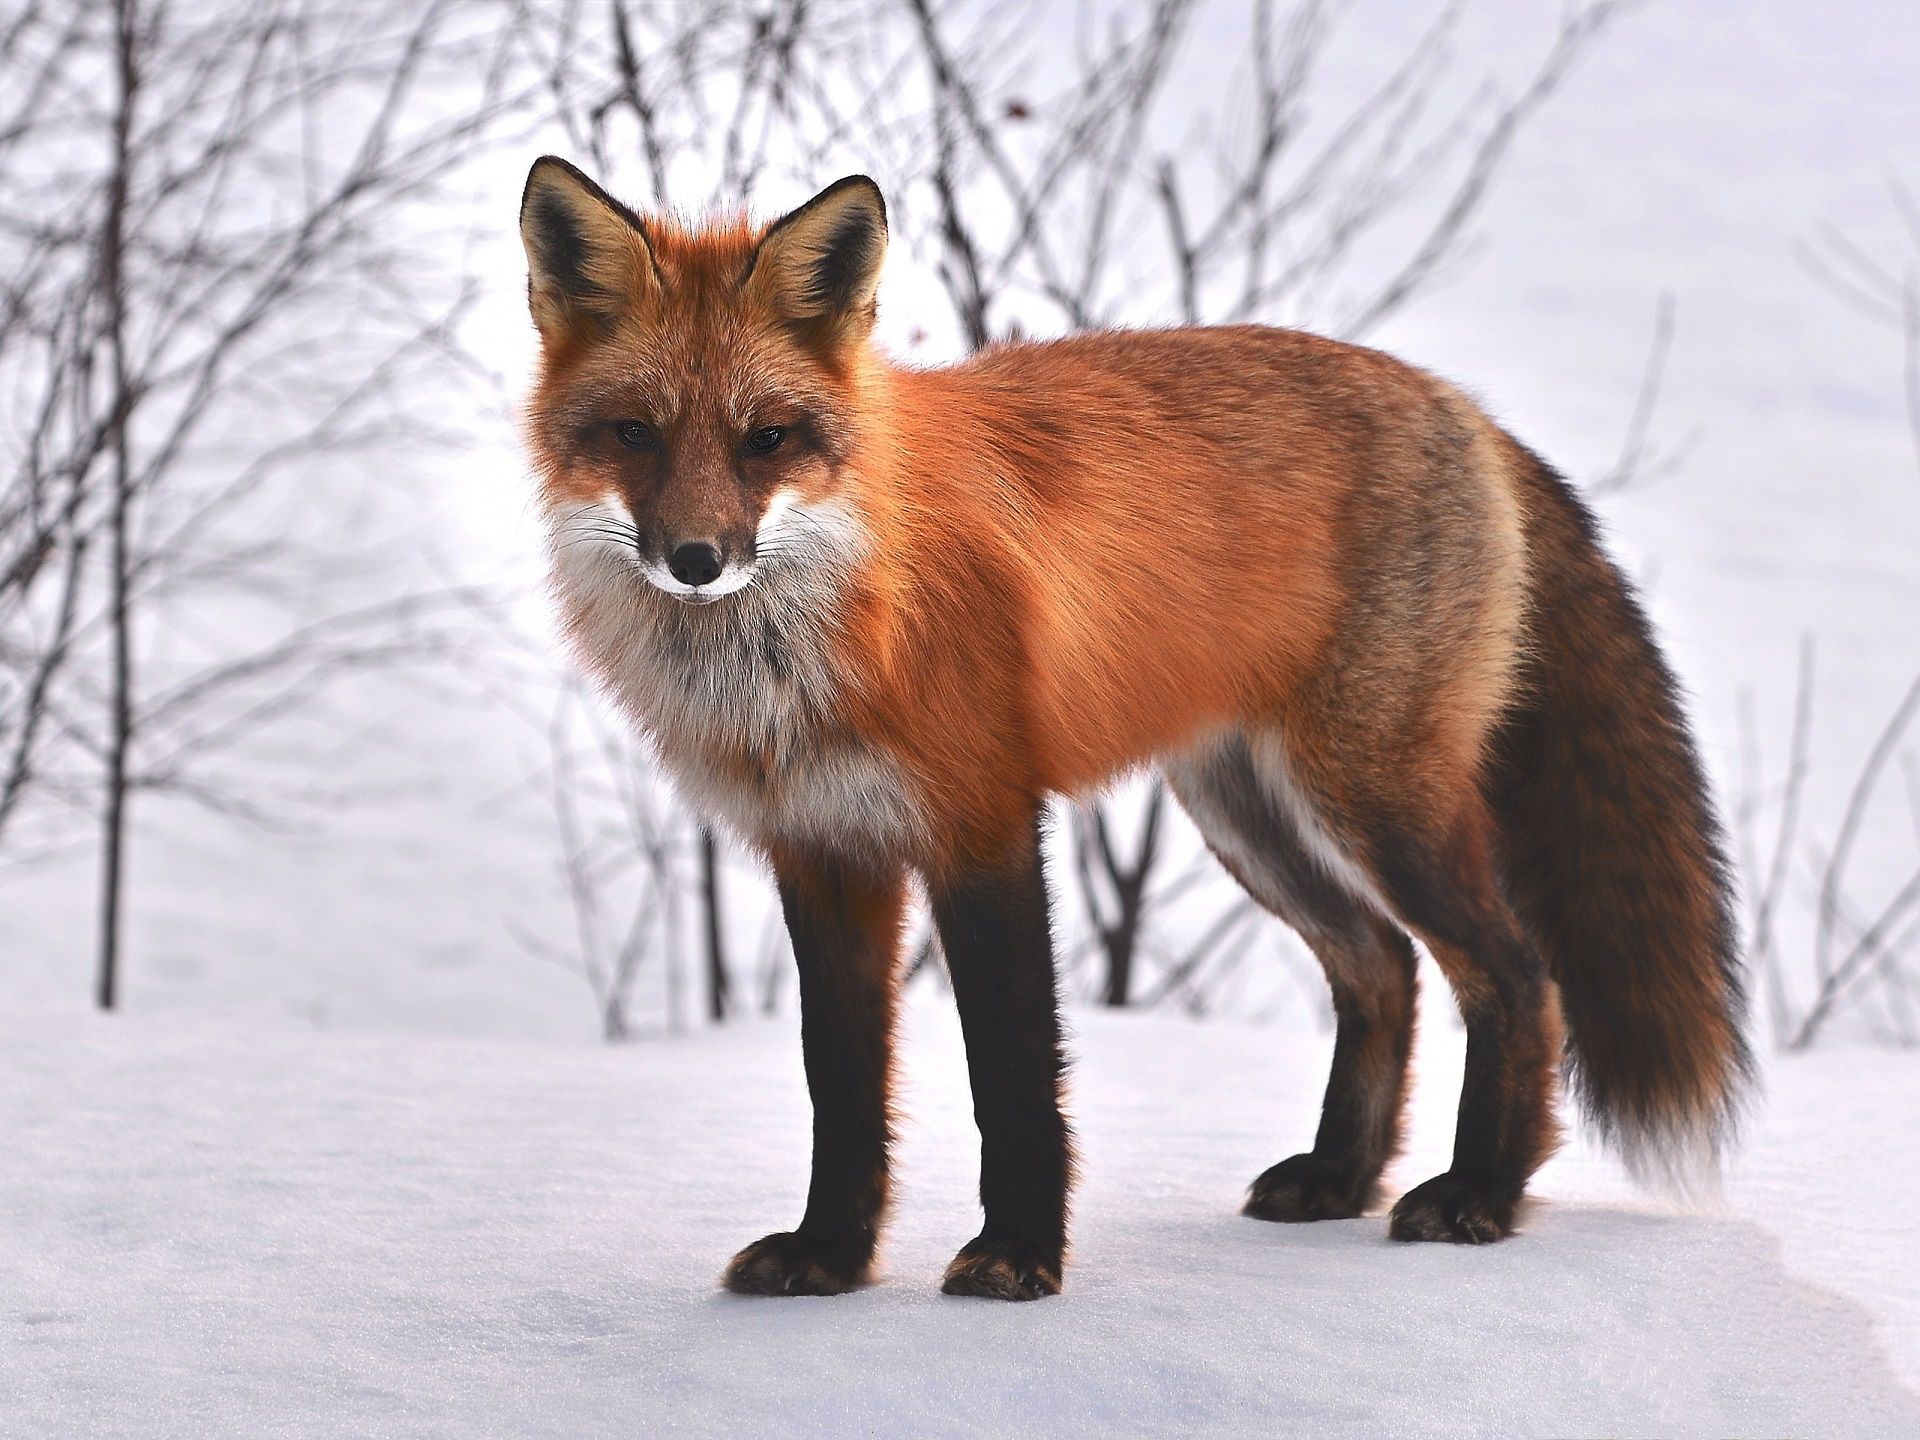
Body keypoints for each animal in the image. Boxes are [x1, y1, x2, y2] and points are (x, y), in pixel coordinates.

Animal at [517, 155, 1751, 1301]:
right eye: (634, 434)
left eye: (766, 439)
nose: (696, 560)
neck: (826, 629)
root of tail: (1464, 407)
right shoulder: (823, 852)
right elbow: (843, 1086)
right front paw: (830, 1257)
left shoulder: (984, 825)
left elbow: (1012, 1074)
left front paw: (1018, 1256)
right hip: (1248, 814)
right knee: (1382, 967)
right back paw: (1341, 1180)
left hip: (1375, 800)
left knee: (1516, 975)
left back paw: (1481, 1194)